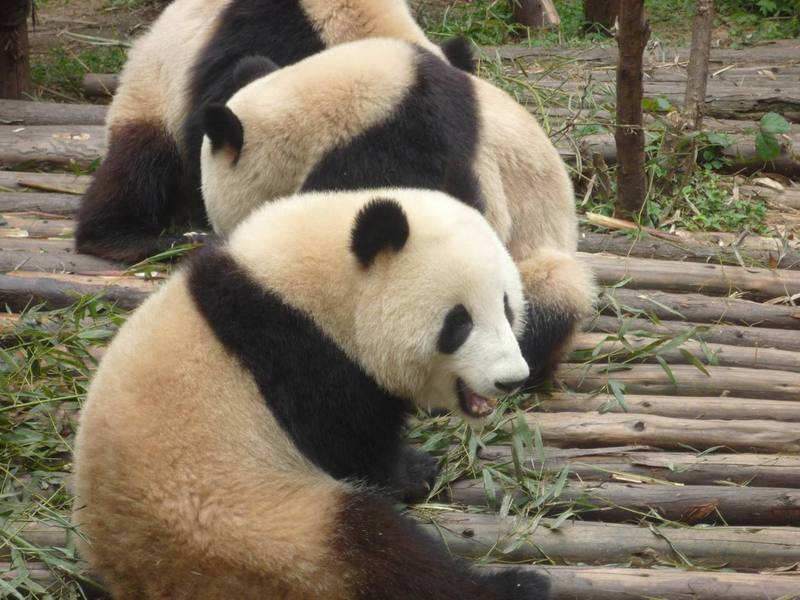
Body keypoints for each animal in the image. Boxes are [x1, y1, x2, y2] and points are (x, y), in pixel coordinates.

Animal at [72, 187, 550, 599]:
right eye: (459, 321)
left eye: (507, 306)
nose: (510, 378)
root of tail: (133, 573)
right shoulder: (300, 357)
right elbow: (355, 451)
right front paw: (414, 469)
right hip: (264, 537)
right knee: (385, 558)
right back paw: (516, 587)